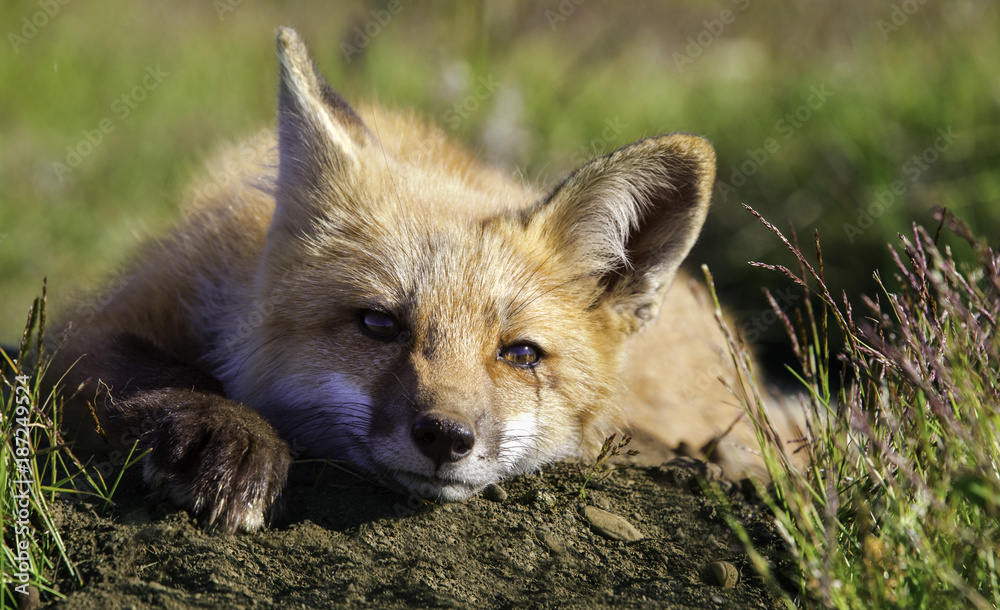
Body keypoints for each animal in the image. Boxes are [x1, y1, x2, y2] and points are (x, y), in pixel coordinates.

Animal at [47, 28, 796, 534]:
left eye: (520, 354)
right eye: (379, 324)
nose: (446, 437)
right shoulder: (100, 318)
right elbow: (155, 369)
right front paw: (226, 431)